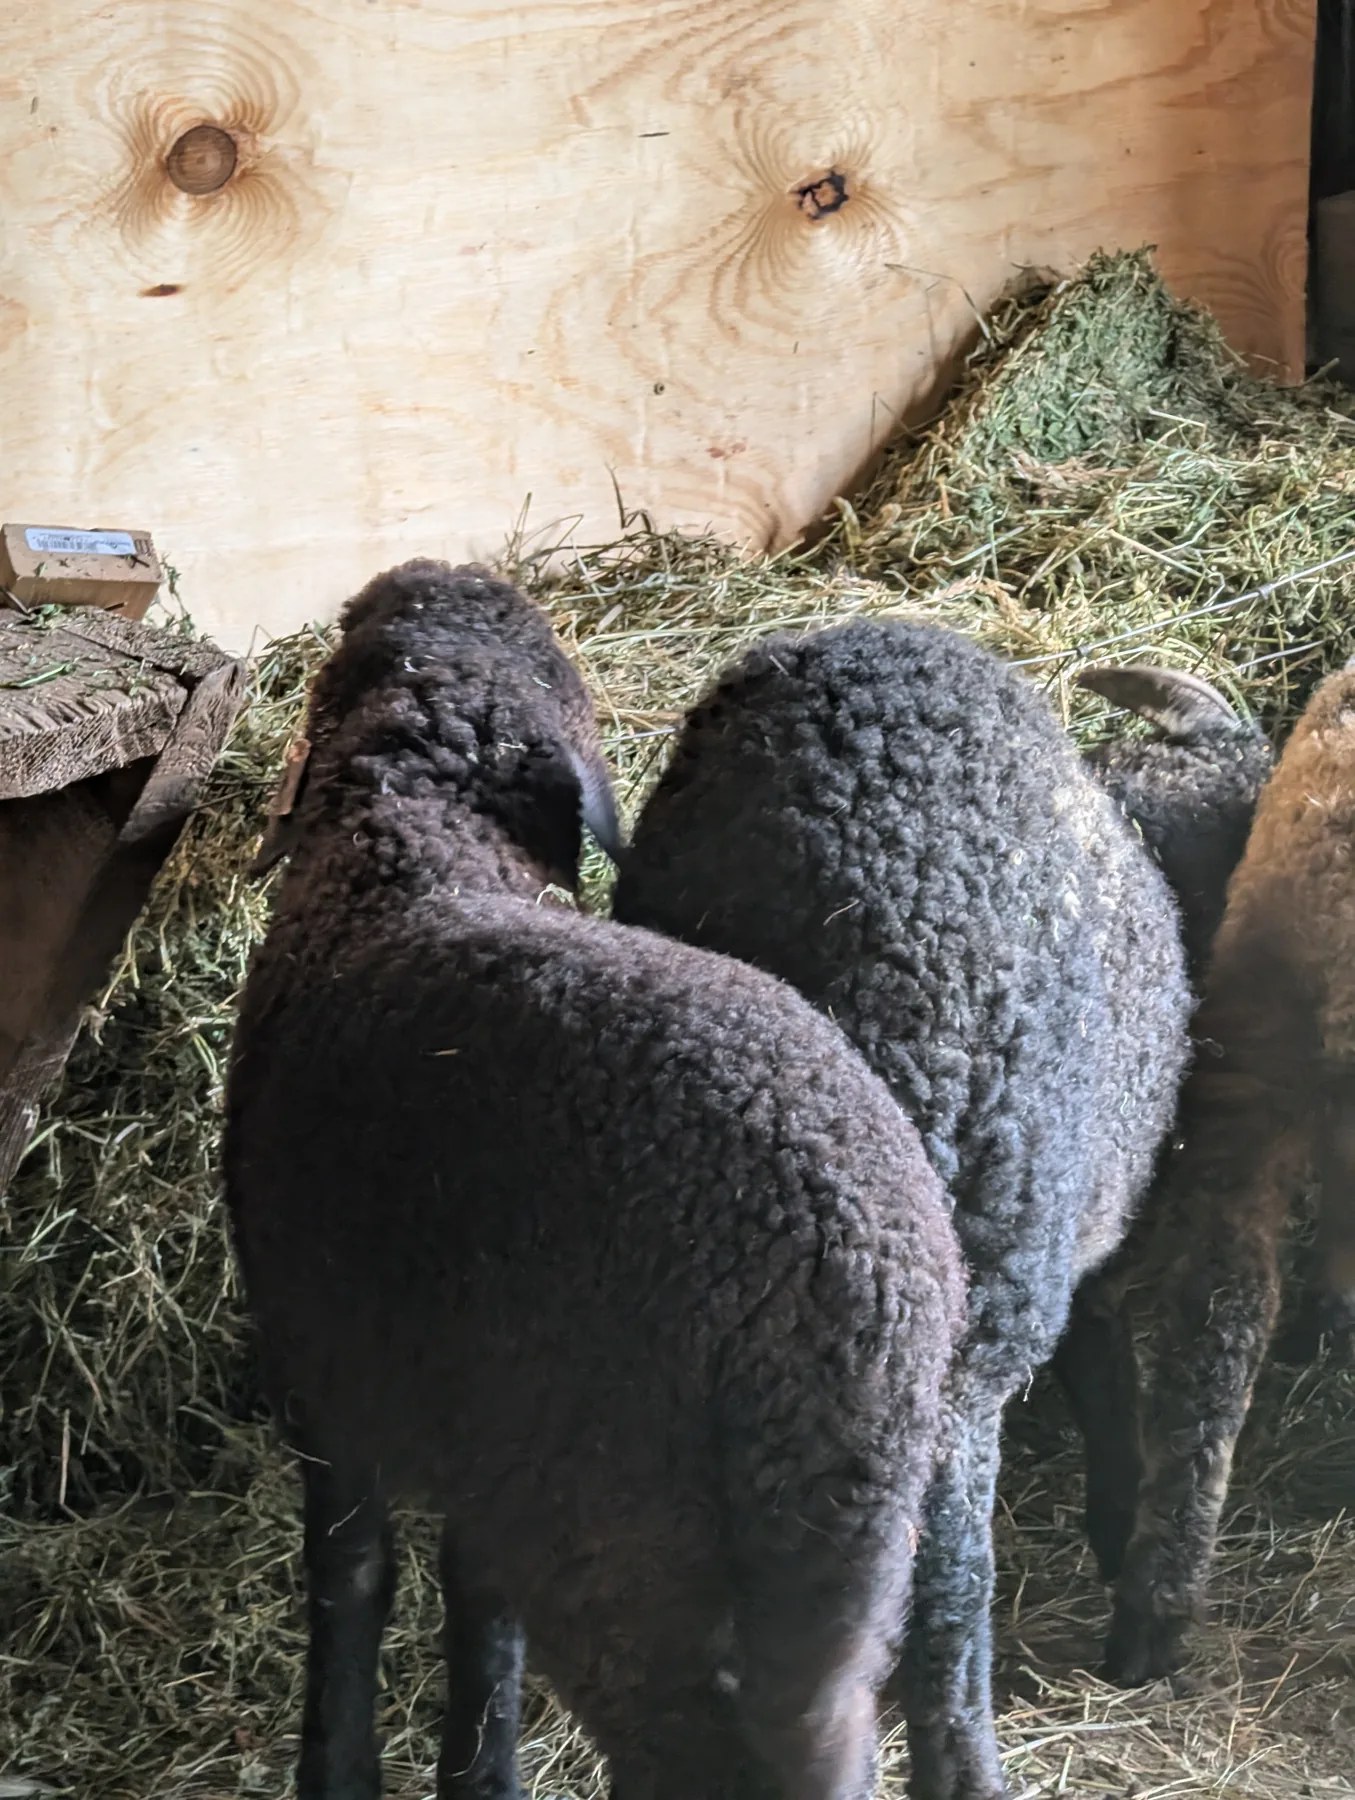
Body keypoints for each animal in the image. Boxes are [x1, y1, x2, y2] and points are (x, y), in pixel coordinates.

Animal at [223, 561, 967, 1800]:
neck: (420, 852)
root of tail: (840, 1294)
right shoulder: (477, 1432)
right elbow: (478, 1611)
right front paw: (477, 1769)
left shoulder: (323, 1363)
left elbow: (351, 1580)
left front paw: (337, 1765)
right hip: (837, 1557)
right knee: (818, 1734)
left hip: (613, 1514)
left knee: (685, 1743)